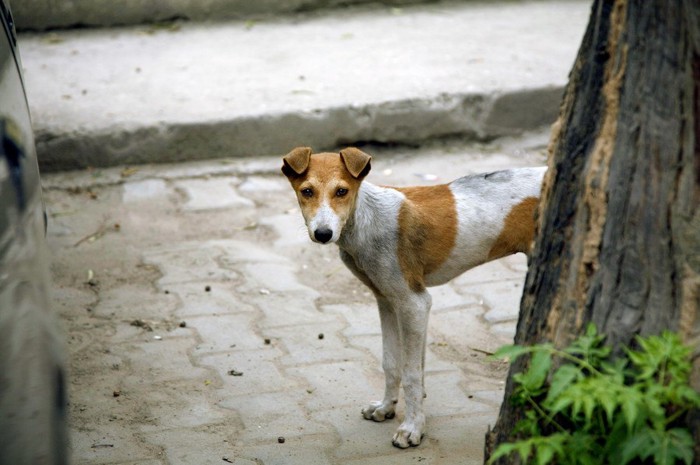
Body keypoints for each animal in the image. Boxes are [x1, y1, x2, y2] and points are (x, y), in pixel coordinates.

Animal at [282, 147, 544, 448]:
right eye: (307, 191)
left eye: (341, 191)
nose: (323, 234)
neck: (366, 219)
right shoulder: (387, 300)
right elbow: (392, 363)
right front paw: (386, 408)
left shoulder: (414, 302)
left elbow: (411, 374)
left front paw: (412, 428)